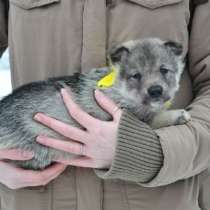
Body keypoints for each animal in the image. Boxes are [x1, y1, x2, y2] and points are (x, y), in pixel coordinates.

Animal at [0, 38, 190, 169]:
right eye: (136, 75)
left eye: (164, 70)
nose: (156, 90)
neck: (118, 87)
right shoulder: (132, 116)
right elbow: (155, 119)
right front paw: (178, 115)